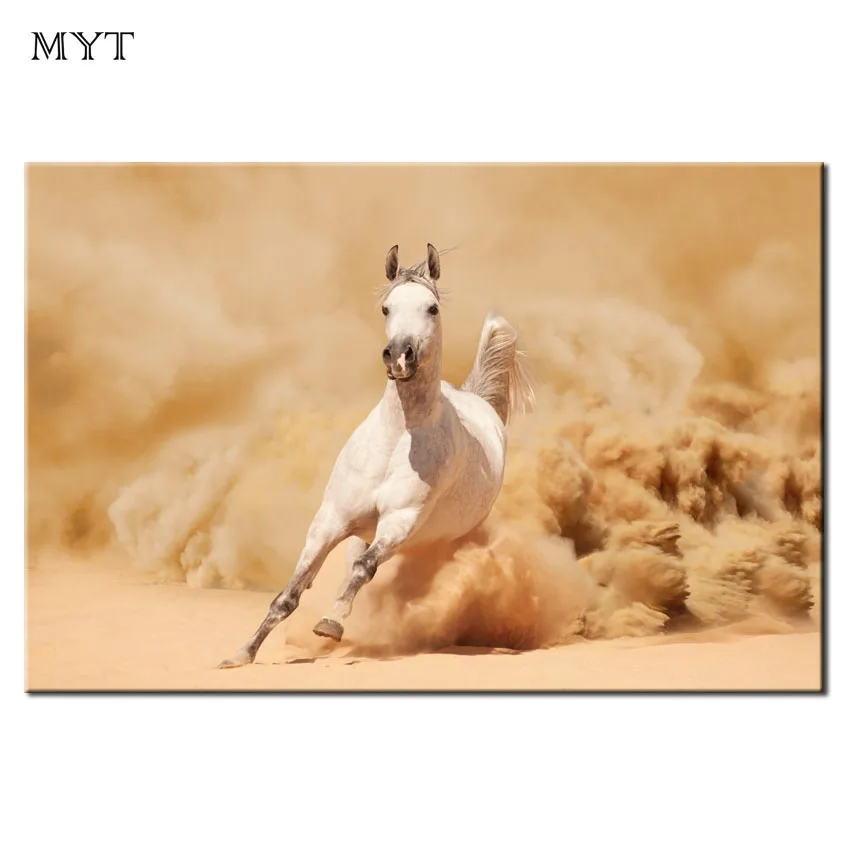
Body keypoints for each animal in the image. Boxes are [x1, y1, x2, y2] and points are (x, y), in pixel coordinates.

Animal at [219, 243, 533, 667]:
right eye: (387, 308)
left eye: (432, 308)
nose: (399, 356)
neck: (397, 441)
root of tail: (478, 400)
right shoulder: (331, 520)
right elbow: (290, 593)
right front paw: (242, 653)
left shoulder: (399, 521)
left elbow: (363, 569)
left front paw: (330, 624)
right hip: (361, 531)